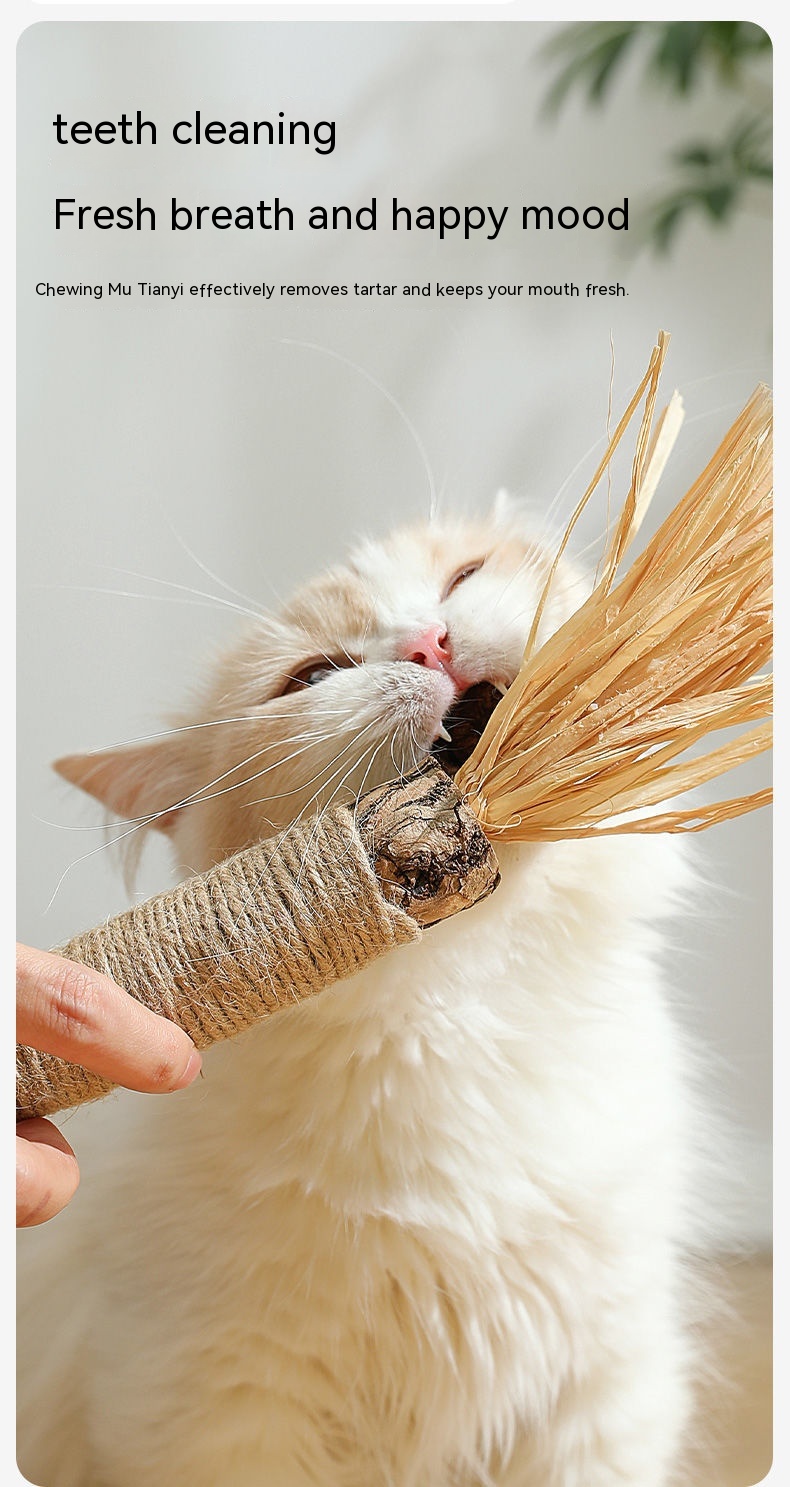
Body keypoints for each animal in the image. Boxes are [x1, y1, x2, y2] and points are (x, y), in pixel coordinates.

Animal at [17, 494, 711, 1487]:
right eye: (315, 675)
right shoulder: (214, 1404)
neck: (459, 1011)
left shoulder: (600, 1393)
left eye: (463, 576)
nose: (430, 641)